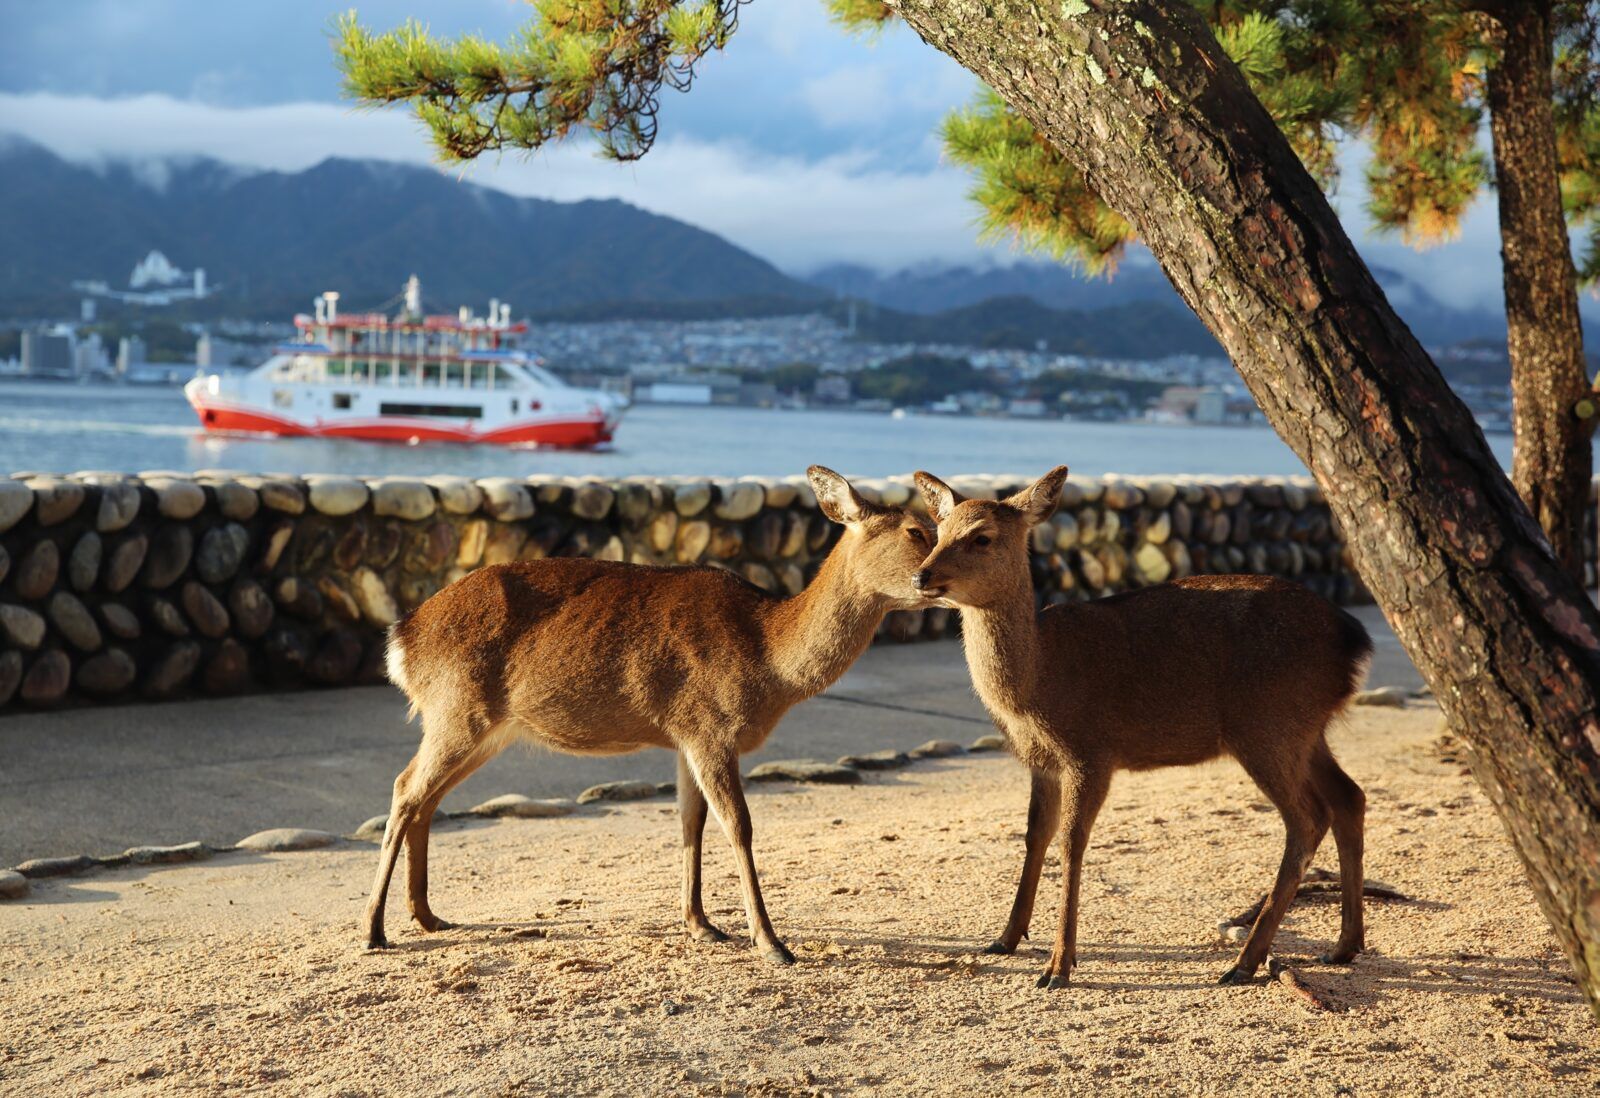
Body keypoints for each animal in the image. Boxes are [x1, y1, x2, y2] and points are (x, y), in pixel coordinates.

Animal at [367, 466, 936, 964]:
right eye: (916, 529)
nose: (936, 577)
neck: (768, 658)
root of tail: (401, 640)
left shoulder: (685, 737)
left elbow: (691, 821)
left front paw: (702, 925)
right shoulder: (709, 726)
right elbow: (739, 825)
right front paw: (772, 944)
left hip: (483, 727)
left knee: (426, 799)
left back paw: (428, 916)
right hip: (455, 710)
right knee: (403, 788)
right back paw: (374, 930)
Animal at [911, 466, 1372, 989]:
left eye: (982, 537)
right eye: (937, 532)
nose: (922, 575)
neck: (1038, 682)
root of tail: (1356, 642)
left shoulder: (1091, 750)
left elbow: (1072, 843)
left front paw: (1059, 966)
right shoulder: (1040, 760)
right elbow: (1034, 836)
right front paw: (1006, 938)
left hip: (1268, 725)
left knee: (1308, 818)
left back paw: (1245, 961)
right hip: (1307, 729)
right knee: (1349, 797)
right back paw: (1344, 945)